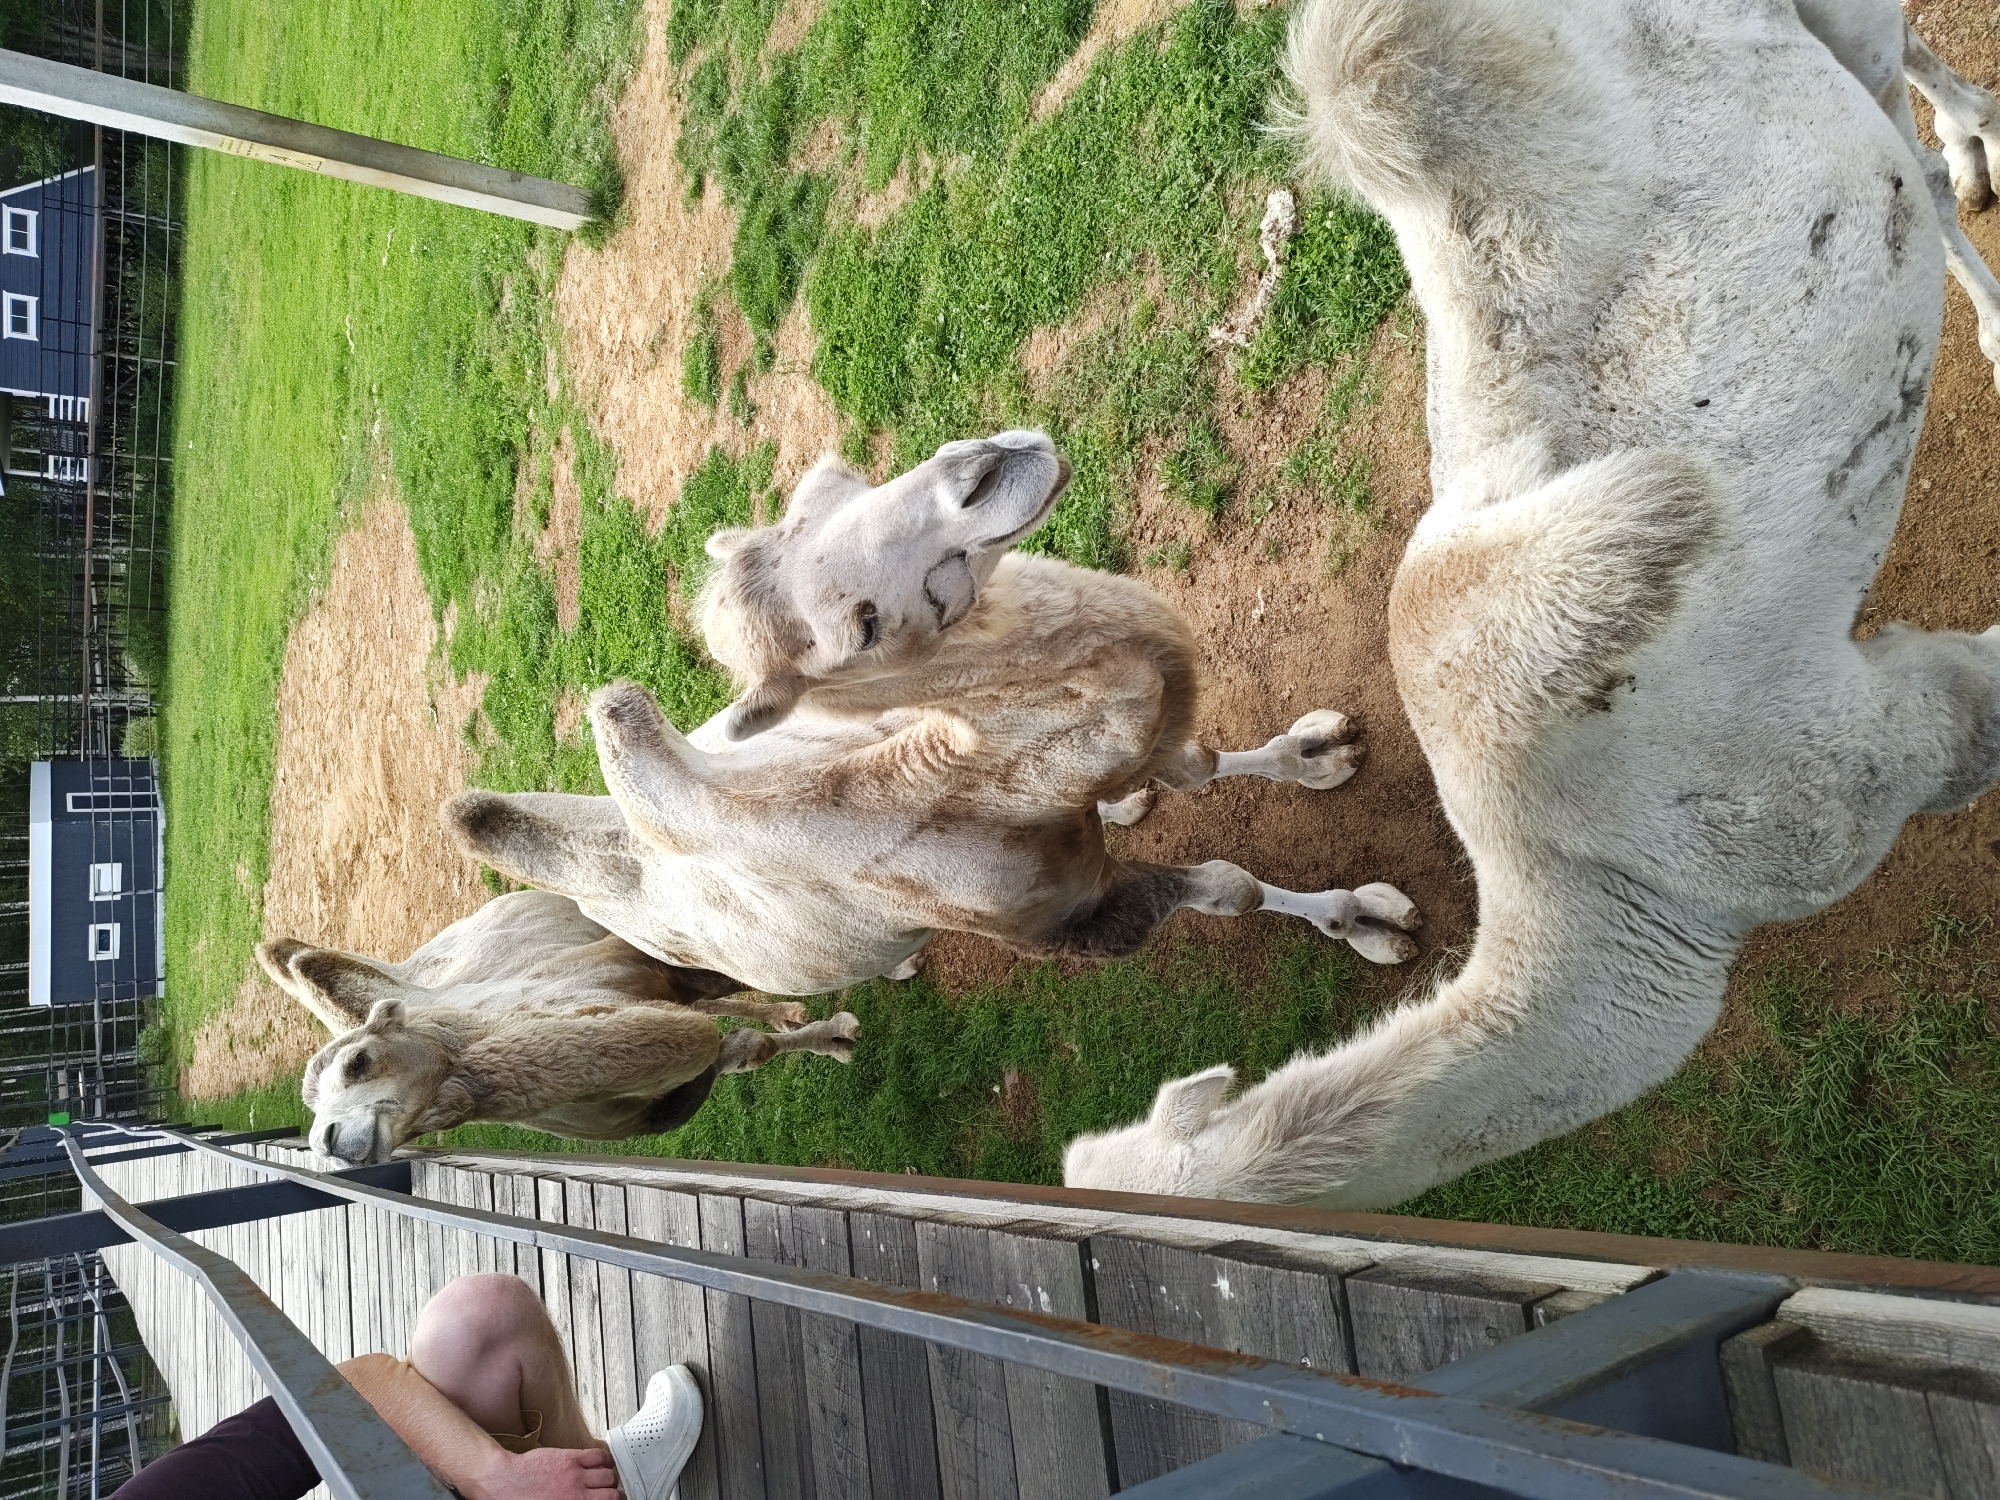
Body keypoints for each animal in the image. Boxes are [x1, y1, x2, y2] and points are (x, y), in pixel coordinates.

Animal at [263, 888, 859, 1165]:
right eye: (312, 1115)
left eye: (358, 1061)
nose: (328, 1143)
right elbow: (744, 1047)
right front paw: (831, 1036)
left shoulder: (650, 969)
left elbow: (729, 983)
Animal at [442, 428, 1422, 997]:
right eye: (861, 628)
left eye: (830, 485)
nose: (984, 467)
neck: (981, 792)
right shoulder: (1063, 922)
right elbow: (1228, 885)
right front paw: (1372, 925)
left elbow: (1199, 764)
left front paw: (1320, 752)